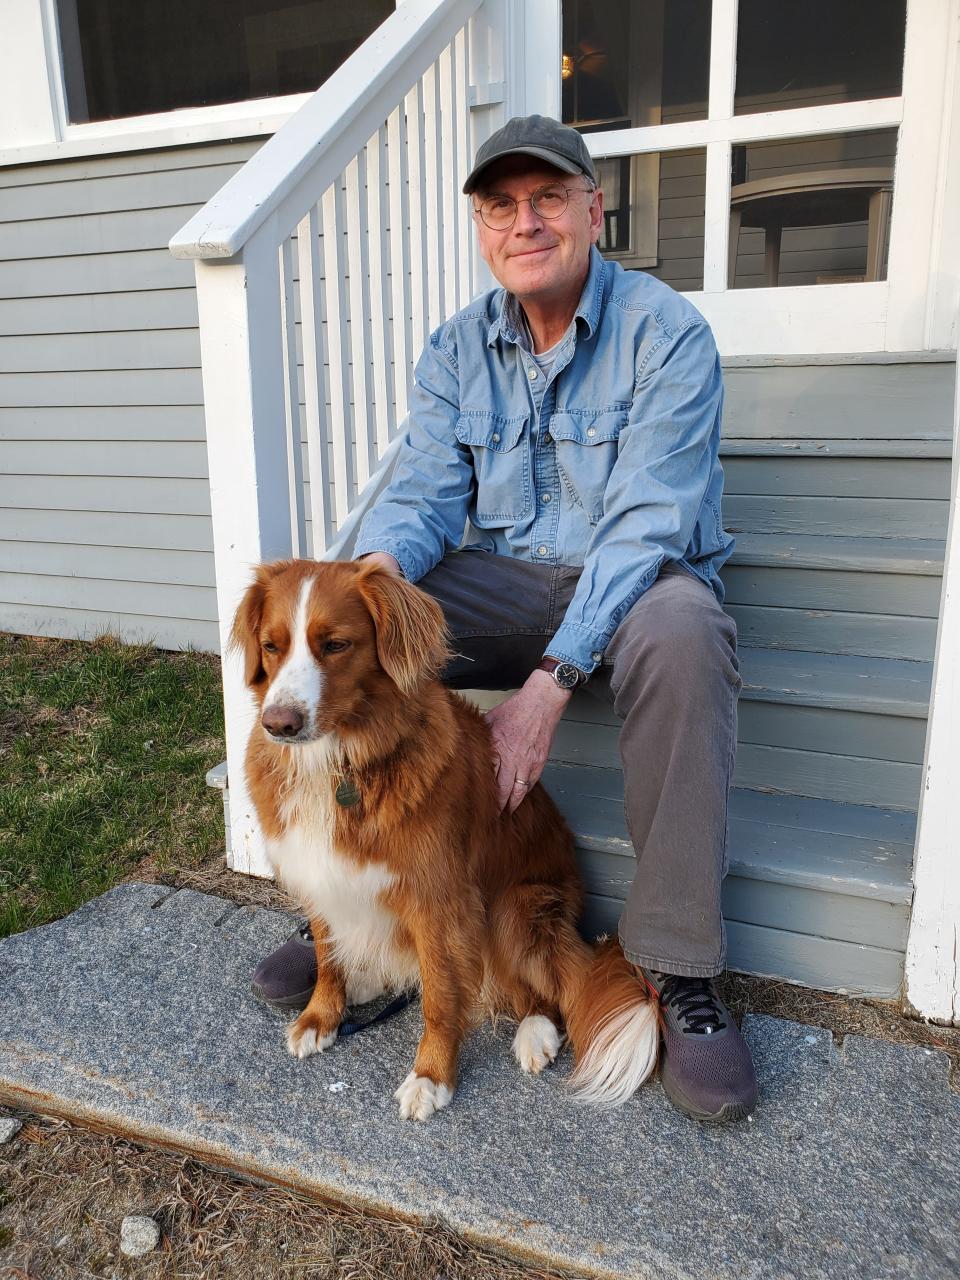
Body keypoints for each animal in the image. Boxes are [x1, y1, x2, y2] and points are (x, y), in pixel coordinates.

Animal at [231, 560, 660, 1121]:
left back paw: (535, 1033)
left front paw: (431, 1076)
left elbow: (439, 995)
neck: (342, 763)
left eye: (335, 644)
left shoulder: (439, 899)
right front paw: (322, 1015)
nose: (279, 724)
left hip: (515, 909)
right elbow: (327, 958)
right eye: (271, 645)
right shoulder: (321, 873)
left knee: (552, 988)